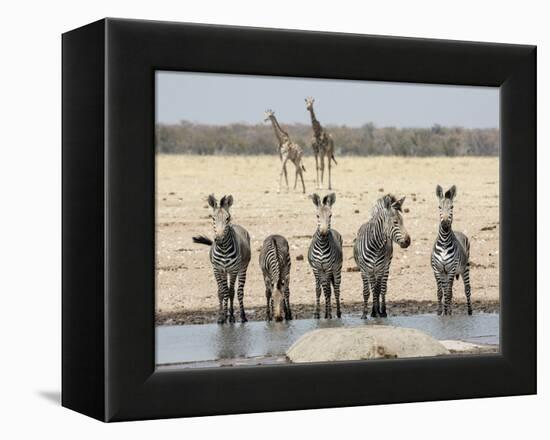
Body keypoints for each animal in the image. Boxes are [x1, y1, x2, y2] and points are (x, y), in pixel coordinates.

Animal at [193, 195, 251, 324]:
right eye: (213, 218)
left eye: (227, 218)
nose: (219, 239)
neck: (224, 249)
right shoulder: (218, 269)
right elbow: (222, 292)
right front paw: (222, 316)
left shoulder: (233, 270)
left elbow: (230, 292)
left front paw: (231, 316)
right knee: (224, 291)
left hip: (242, 269)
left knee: (239, 292)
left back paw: (242, 316)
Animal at [432, 184, 474, 314]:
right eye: (439, 207)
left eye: (452, 207)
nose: (445, 225)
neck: (444, 241)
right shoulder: (438, 270)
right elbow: (441, 292)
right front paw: (440, 312)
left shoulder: (451, 269)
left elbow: (448, 293)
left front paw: (446, 313)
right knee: (448, 290)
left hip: (465, 267)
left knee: (467, 289)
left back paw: (469, 312)